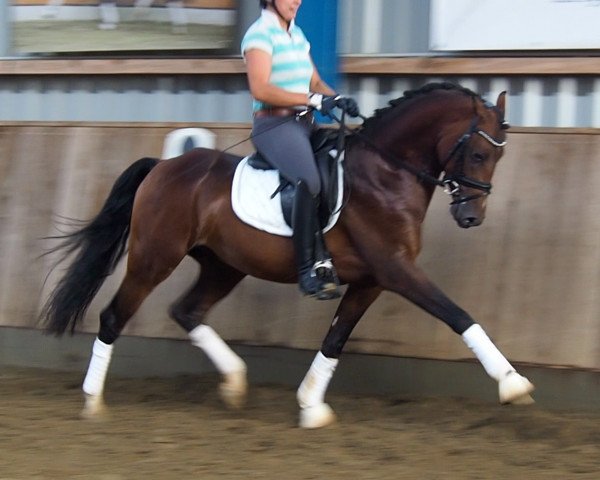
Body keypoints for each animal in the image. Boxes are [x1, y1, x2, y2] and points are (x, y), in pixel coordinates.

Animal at [42, 82, 536, 428]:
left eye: (497, 158)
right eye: (477, 153)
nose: (471, 217)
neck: (386, 171)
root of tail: (164, 166)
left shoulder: (371, 280)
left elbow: (335, 339)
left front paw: (311, 406)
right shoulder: (396, 270)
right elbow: (458, 315)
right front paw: (512, 384)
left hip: (224, 266)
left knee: (187, 311)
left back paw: (235, 382)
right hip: (153, 258)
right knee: (114, 317)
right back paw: (93, 402)